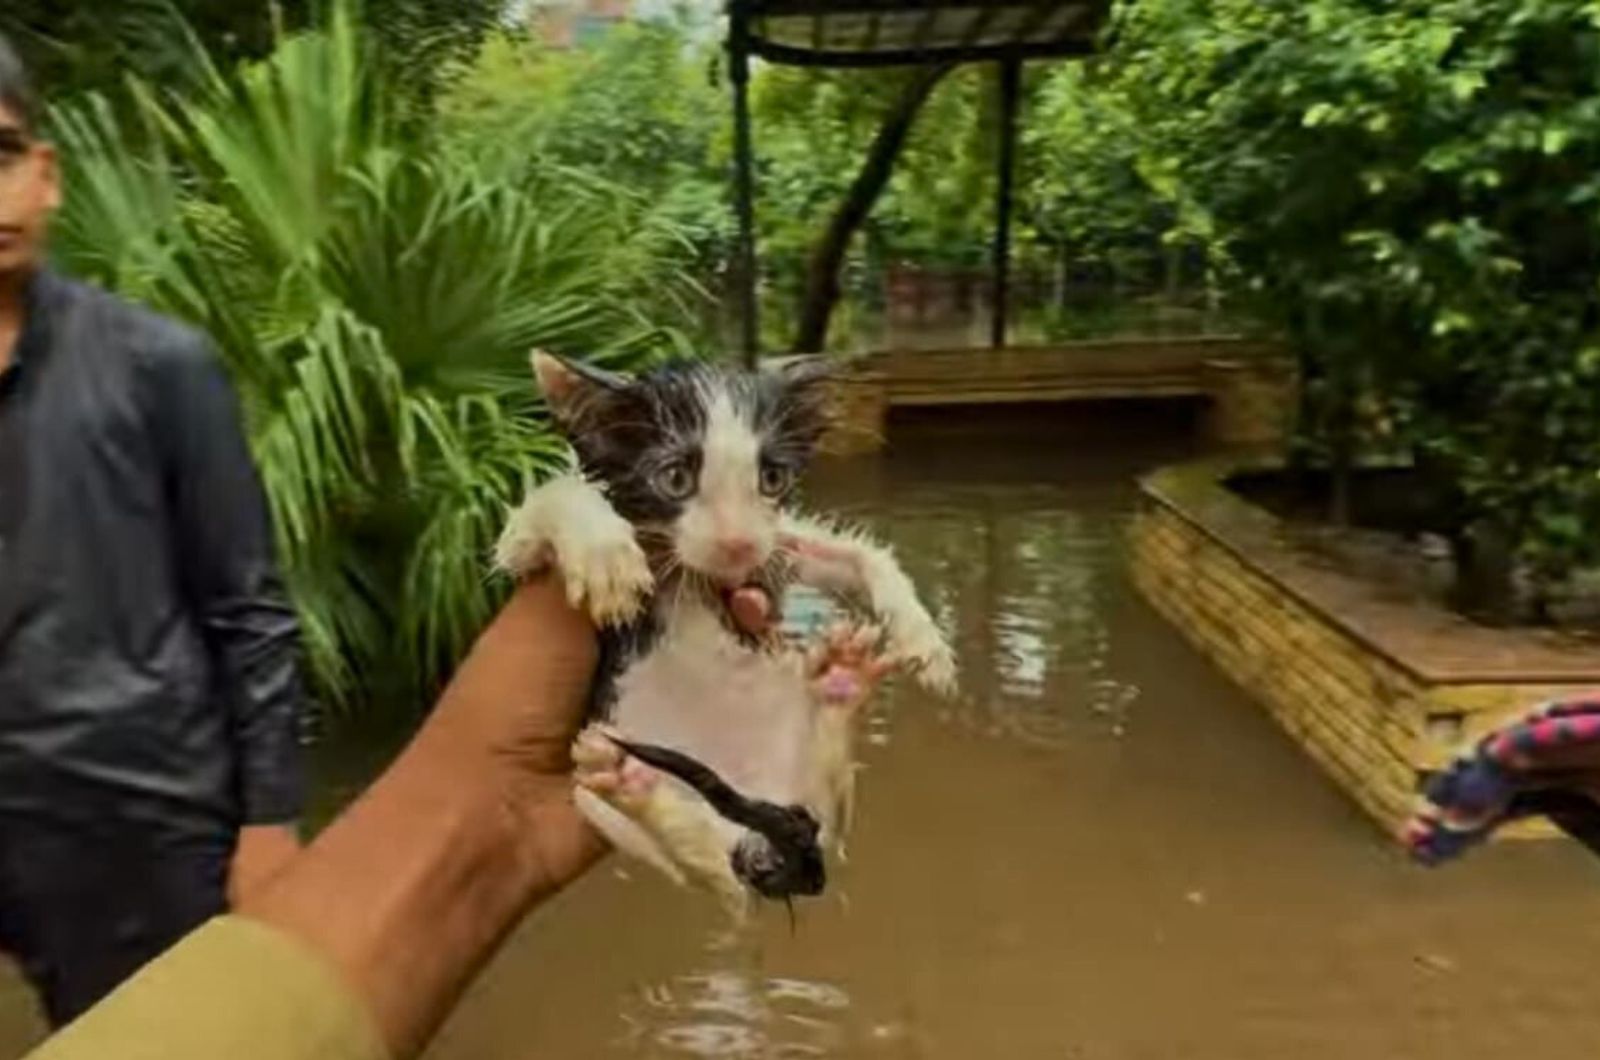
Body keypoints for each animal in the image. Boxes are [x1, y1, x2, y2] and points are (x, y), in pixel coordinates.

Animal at [492, 352, 953, 915]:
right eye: (674, 478)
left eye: (772, 478)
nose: (737, 544)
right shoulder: (524, 555)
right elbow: (555, 499)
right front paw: (606, 558)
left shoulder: (771, 548)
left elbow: (853, 553)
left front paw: (924, 639)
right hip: (593, 791)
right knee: (722, 882)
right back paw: (635, 789)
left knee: (804, 840)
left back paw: (841, 685)